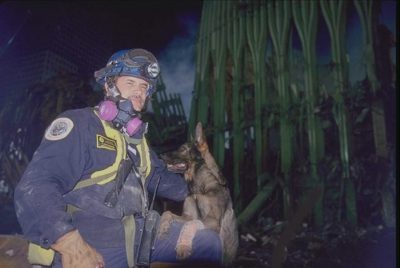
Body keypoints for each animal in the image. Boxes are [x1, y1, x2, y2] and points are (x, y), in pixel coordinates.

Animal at [156, 122, 238, 264]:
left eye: (183, 149)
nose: (160, 156)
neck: (199, 188)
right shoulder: (187, 216)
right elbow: (168, 213)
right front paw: (162, 227)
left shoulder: (213, 221)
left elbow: (190, 224)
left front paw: (183, 245)